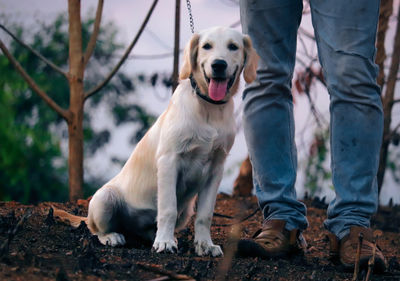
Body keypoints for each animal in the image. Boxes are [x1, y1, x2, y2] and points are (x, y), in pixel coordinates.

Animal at [54, 26, 256, 256]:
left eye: (233, 46)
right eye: (207, 46)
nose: (218, 65)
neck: (209, 108)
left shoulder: (216, 168)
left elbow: (205, 215)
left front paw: (205, 245)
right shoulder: (169, 160)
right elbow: (168, 208)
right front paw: (165, 243)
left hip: (186, 211)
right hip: (104, 198)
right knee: (96, 229)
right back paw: (114, 236)